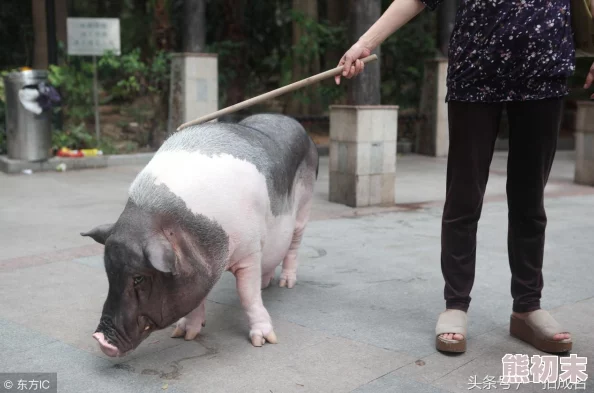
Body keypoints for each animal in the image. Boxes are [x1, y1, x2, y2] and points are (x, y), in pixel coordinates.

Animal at [82, 112, 320, 356]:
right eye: (109, 272)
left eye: (139, 277)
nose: (100, 339)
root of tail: (293, 122)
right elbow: (197, 298)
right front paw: (183, 335)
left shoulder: (250, 251)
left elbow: (247, 295)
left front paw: (262, 341)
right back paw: (266, 285)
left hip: (304, 206)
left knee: (293, 245)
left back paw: (285, 284)